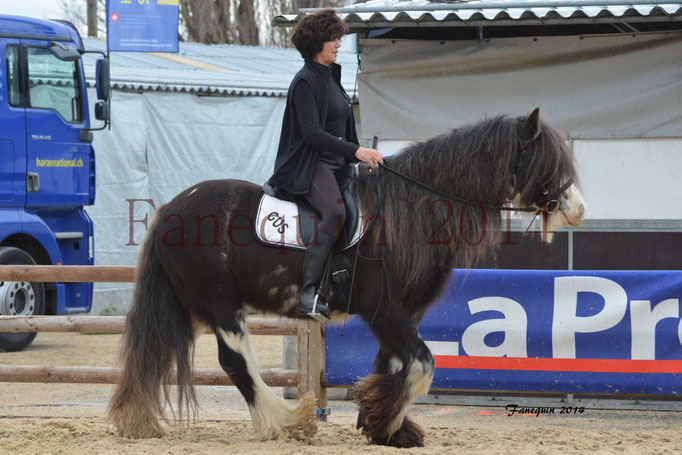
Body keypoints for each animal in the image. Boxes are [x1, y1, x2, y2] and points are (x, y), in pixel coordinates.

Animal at [107, 108, 584, 448]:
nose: (577, 208)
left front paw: (383, 423)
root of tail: (171, 209)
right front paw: (386, 422)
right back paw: (287, 422)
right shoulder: (381, 308)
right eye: (543, 159)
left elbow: (396, 365)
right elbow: (423, 365)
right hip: (219, 304)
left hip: (191, 306)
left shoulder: (402, 312)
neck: (408, 209)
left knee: (159, 354)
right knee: (236, 362)